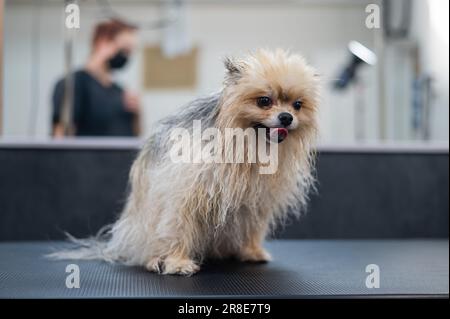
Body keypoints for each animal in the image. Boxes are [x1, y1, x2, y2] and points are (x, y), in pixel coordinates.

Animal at [51, 48, 320, 276]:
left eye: (297, 105)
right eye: (264, 101)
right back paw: (153, 260)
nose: (286, 117)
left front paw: (251, 251)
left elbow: (252, 229)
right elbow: (178, 229)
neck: (246, 145)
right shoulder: (183, 197)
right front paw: (177, 263)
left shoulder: (255, 204)